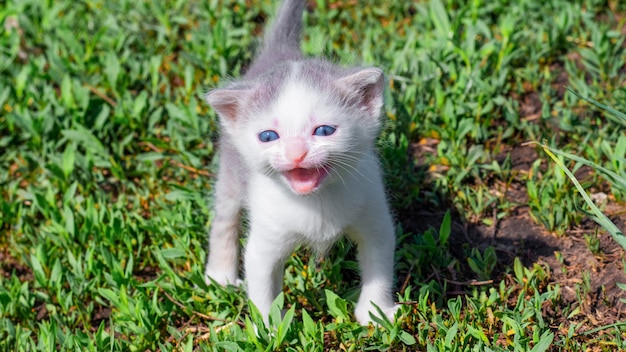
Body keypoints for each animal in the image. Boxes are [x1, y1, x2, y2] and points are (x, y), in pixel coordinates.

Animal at [202, 0, 398, 324]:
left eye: (324, 131)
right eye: (269, 136)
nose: (296, 153)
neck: (316, 203)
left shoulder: (374, 214)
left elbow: (379, 266)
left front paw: (375, 313)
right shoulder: (264, 243)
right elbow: (262, 287)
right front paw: (269, 328)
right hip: (230, 171)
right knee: (224, 219)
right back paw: (220, 275)